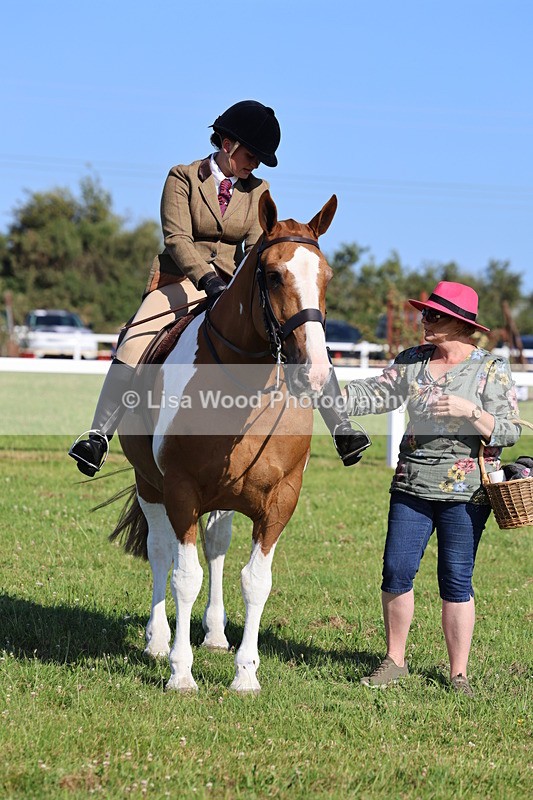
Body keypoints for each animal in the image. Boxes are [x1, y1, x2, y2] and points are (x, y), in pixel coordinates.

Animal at [112, 190, 337, 693]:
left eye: (327, 277)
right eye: (273, 275)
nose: (313, 373)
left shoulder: (280, 500)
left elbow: (255, 580)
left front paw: (246, 675)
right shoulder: (180, 490)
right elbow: (184, 576)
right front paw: (180, 672)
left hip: (225, 497)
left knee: (216, 548)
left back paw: (215, 634)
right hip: (150, 486)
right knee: (161, 553)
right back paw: (158, 641)